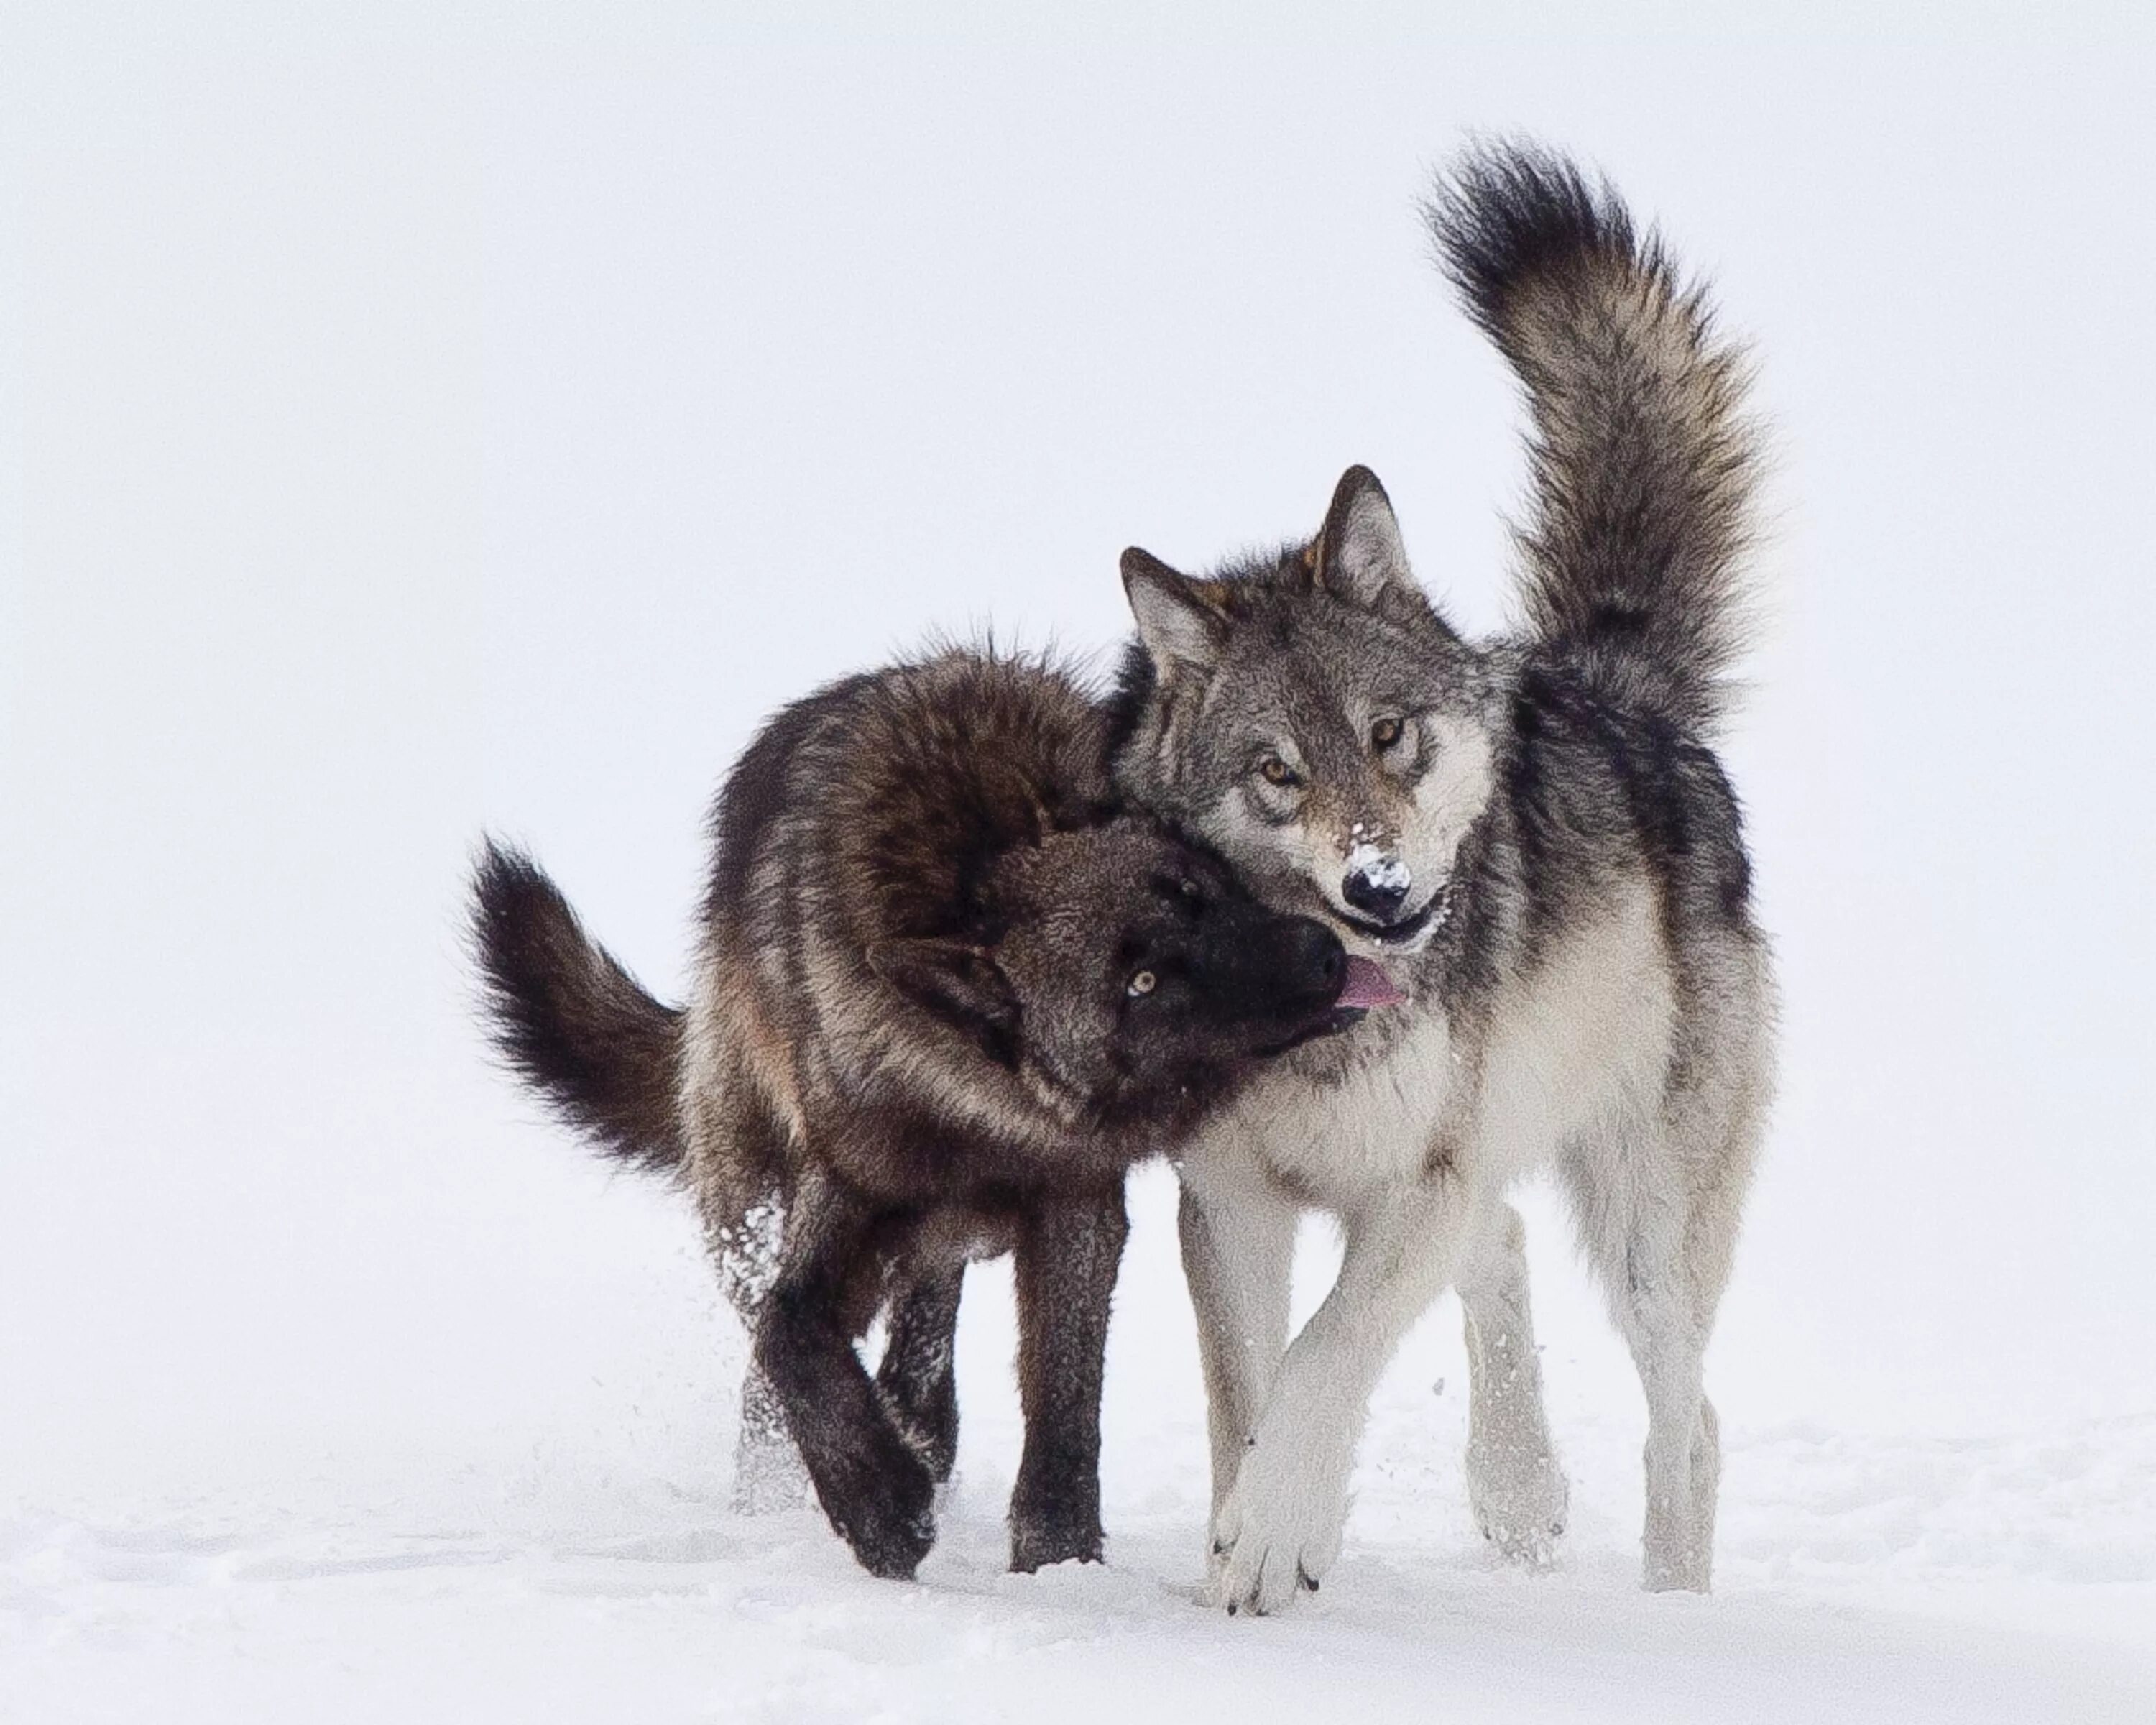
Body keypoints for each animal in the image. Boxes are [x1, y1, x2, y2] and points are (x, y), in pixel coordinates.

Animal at [474, 647, 1371, 1578]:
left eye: (1197, 889)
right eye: (1142, 983)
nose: (1324, 956)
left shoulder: (1076, 1205)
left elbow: (1064, 1396)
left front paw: (1058, 1559)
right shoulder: (846, 1194)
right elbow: (790, 1332)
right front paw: (878, 1507)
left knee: (924, 1325)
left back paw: (920, 1434)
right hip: (749, 1214)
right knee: (767, 1354)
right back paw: (784, 1501)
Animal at [1104, 141, 1777, 1613]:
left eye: (1389, 736)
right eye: (1278, 773)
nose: (1381, 890)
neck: (1309, 1015)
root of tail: (1611, 683)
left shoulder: (1414, 1185)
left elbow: (1325, 1357)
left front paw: (1273, 1534)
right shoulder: (1227, 1201)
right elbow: (1248, 1389)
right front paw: (1248, 1550)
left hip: (1645, 1229)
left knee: (1692, 1421)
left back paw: (1673, 1613)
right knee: (1511, 1255)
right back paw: (1517, 1499)